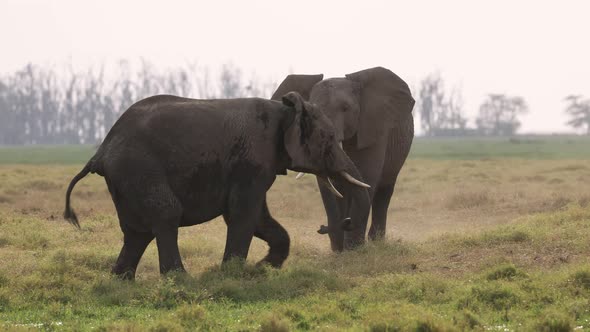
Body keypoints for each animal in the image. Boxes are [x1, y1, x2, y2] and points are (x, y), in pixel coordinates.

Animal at [63, 91, 370, 280]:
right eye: (329, 138)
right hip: (139, 168)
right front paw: (233, 274)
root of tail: (101, 151)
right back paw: (181, 280)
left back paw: (122, 281)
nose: (324, 227)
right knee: (166, 214)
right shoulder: (252, 161)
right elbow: (242, 214)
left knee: (137, 232)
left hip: (126, 179)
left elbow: (258, 217)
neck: (286, 109)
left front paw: (261, 268)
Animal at [272, 65, 416, 252]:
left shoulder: (373, 128)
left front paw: (354, 249)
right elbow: (327, 185)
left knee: (384, 191)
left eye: (346, 108)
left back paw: (376, 242)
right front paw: (339, 251)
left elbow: (367, 177)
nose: (321, 228)